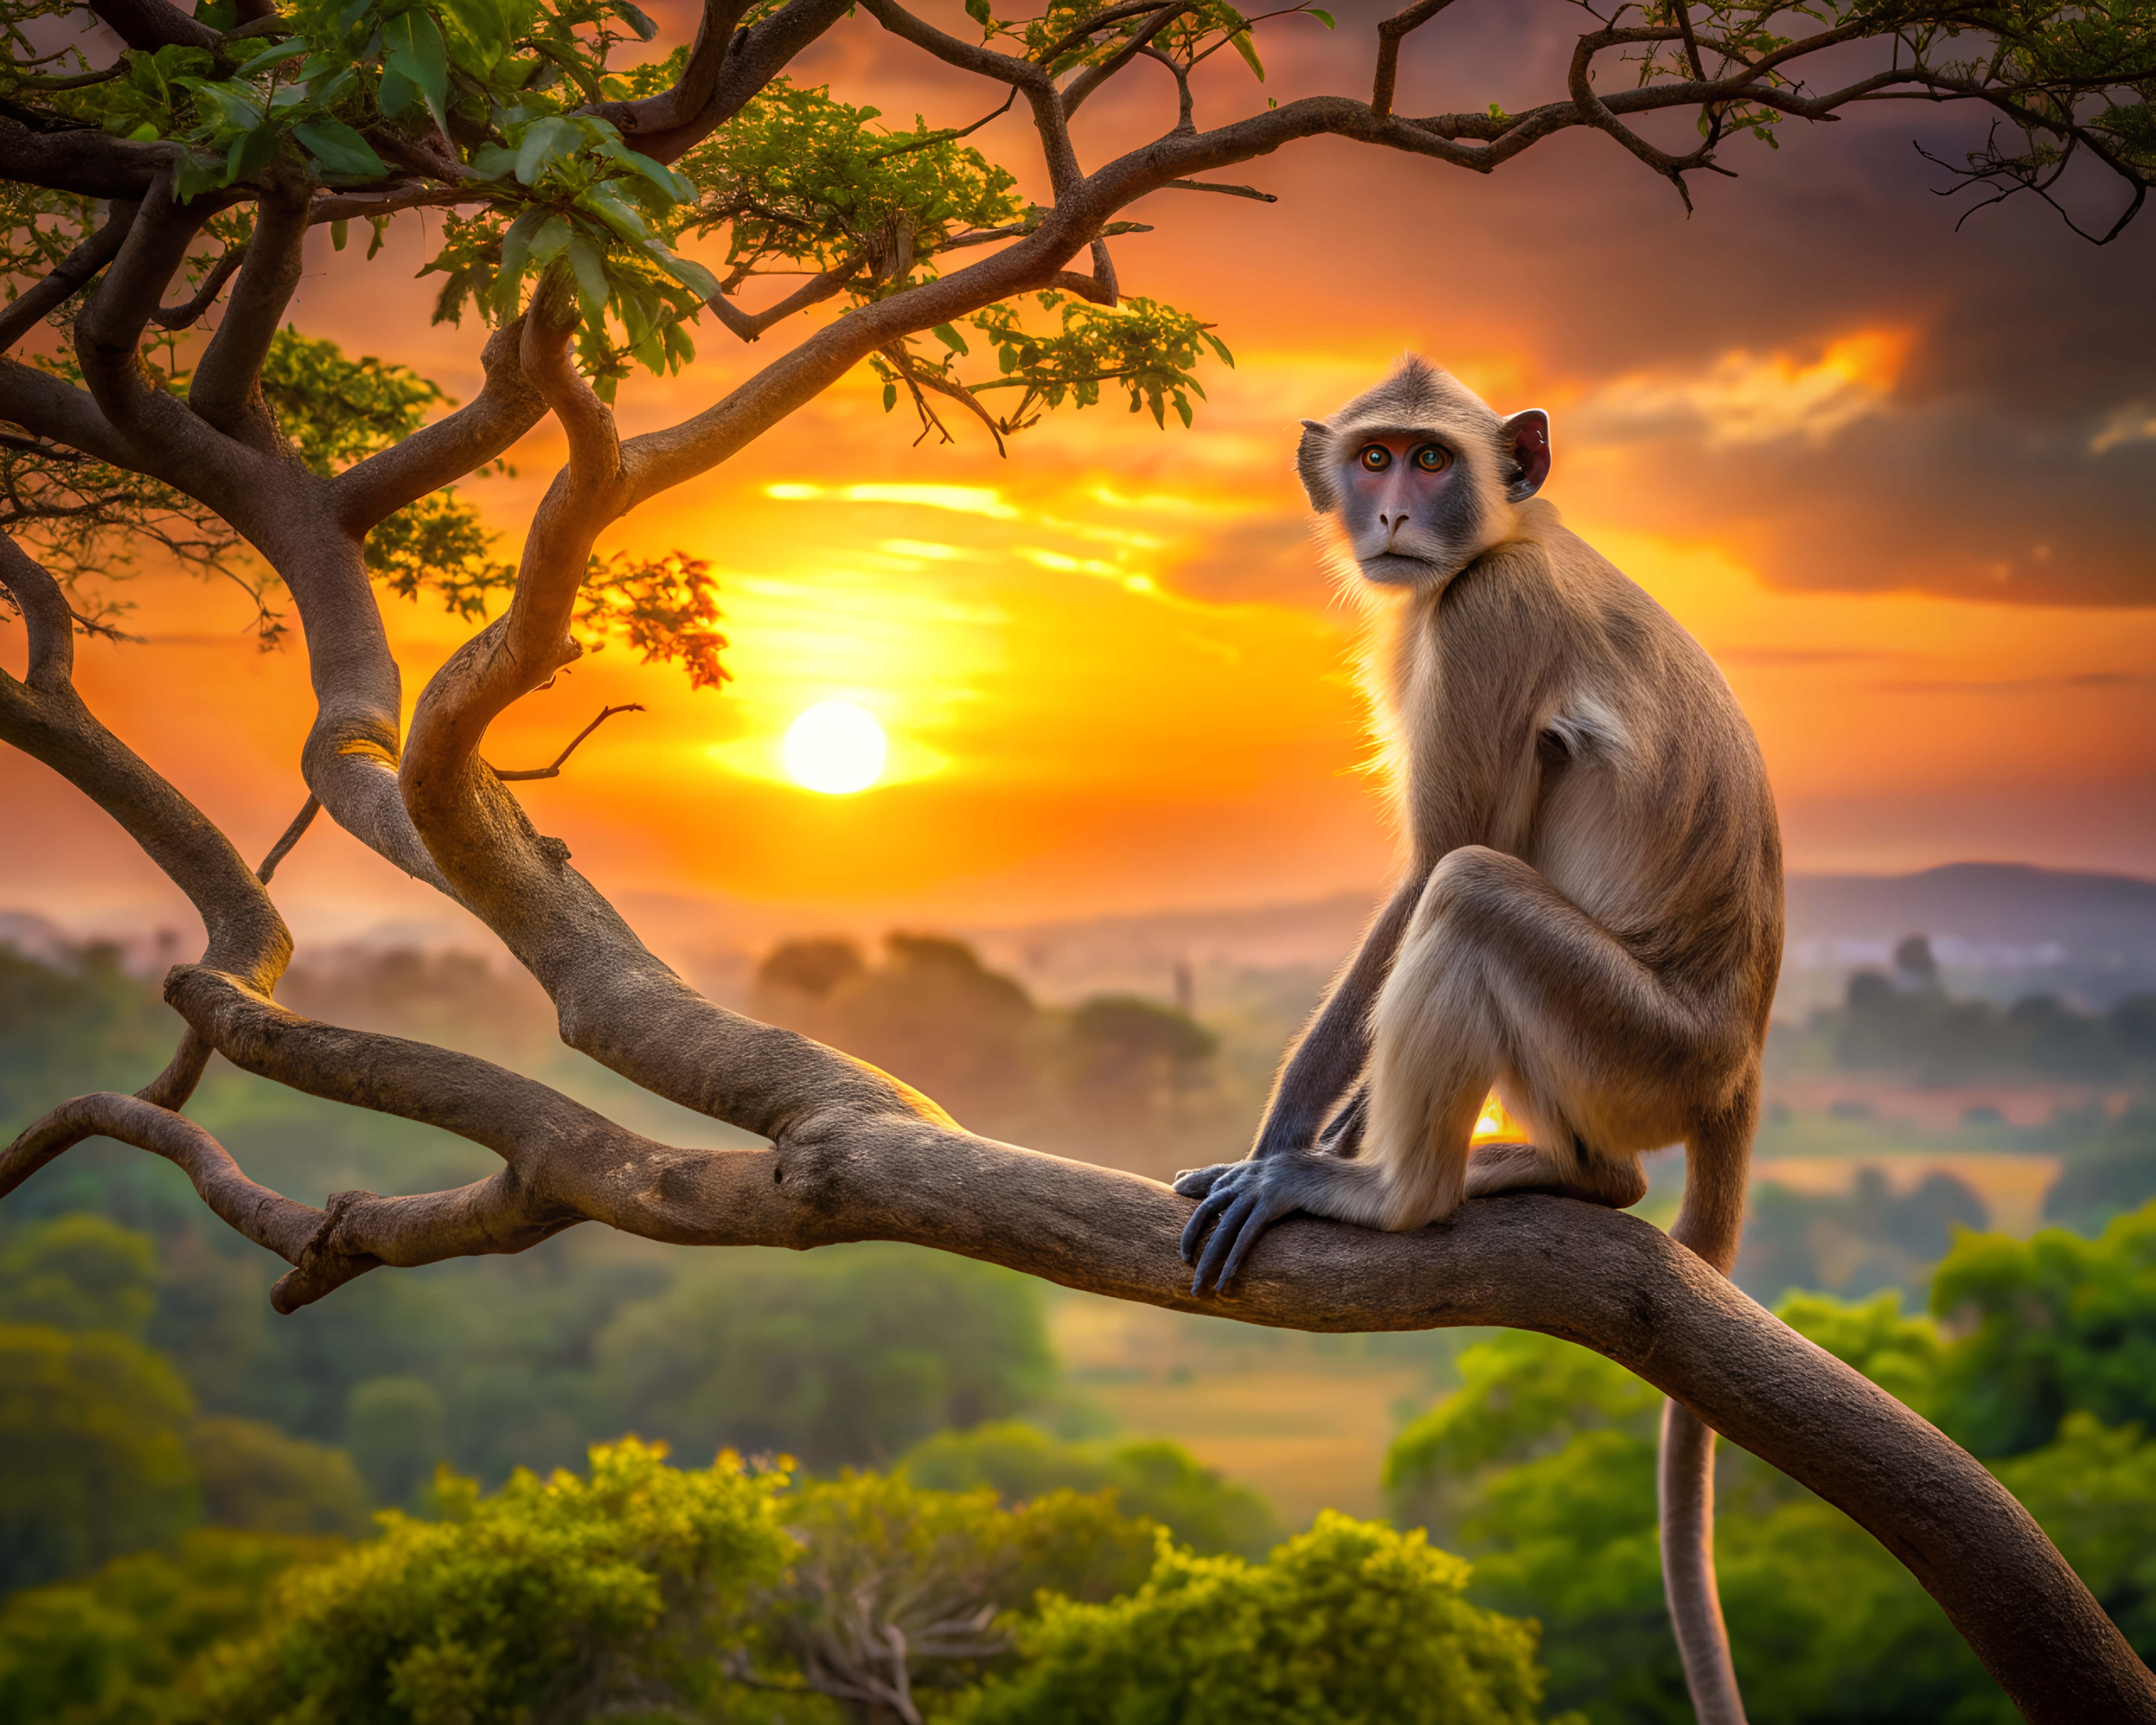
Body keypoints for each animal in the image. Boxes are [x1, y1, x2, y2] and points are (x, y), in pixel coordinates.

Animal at [1173, 357, 1782, 1725]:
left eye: (1433, 460)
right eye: (1375, 458)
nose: (1395, 513)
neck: (1512, 536)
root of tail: (1738, 1055)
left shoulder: (1484, 619)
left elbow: (1433, 866)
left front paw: (1281, 1147)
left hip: (1632, 1040)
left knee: (1469, 891)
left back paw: (1396, 1192)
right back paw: (1571, 1175)